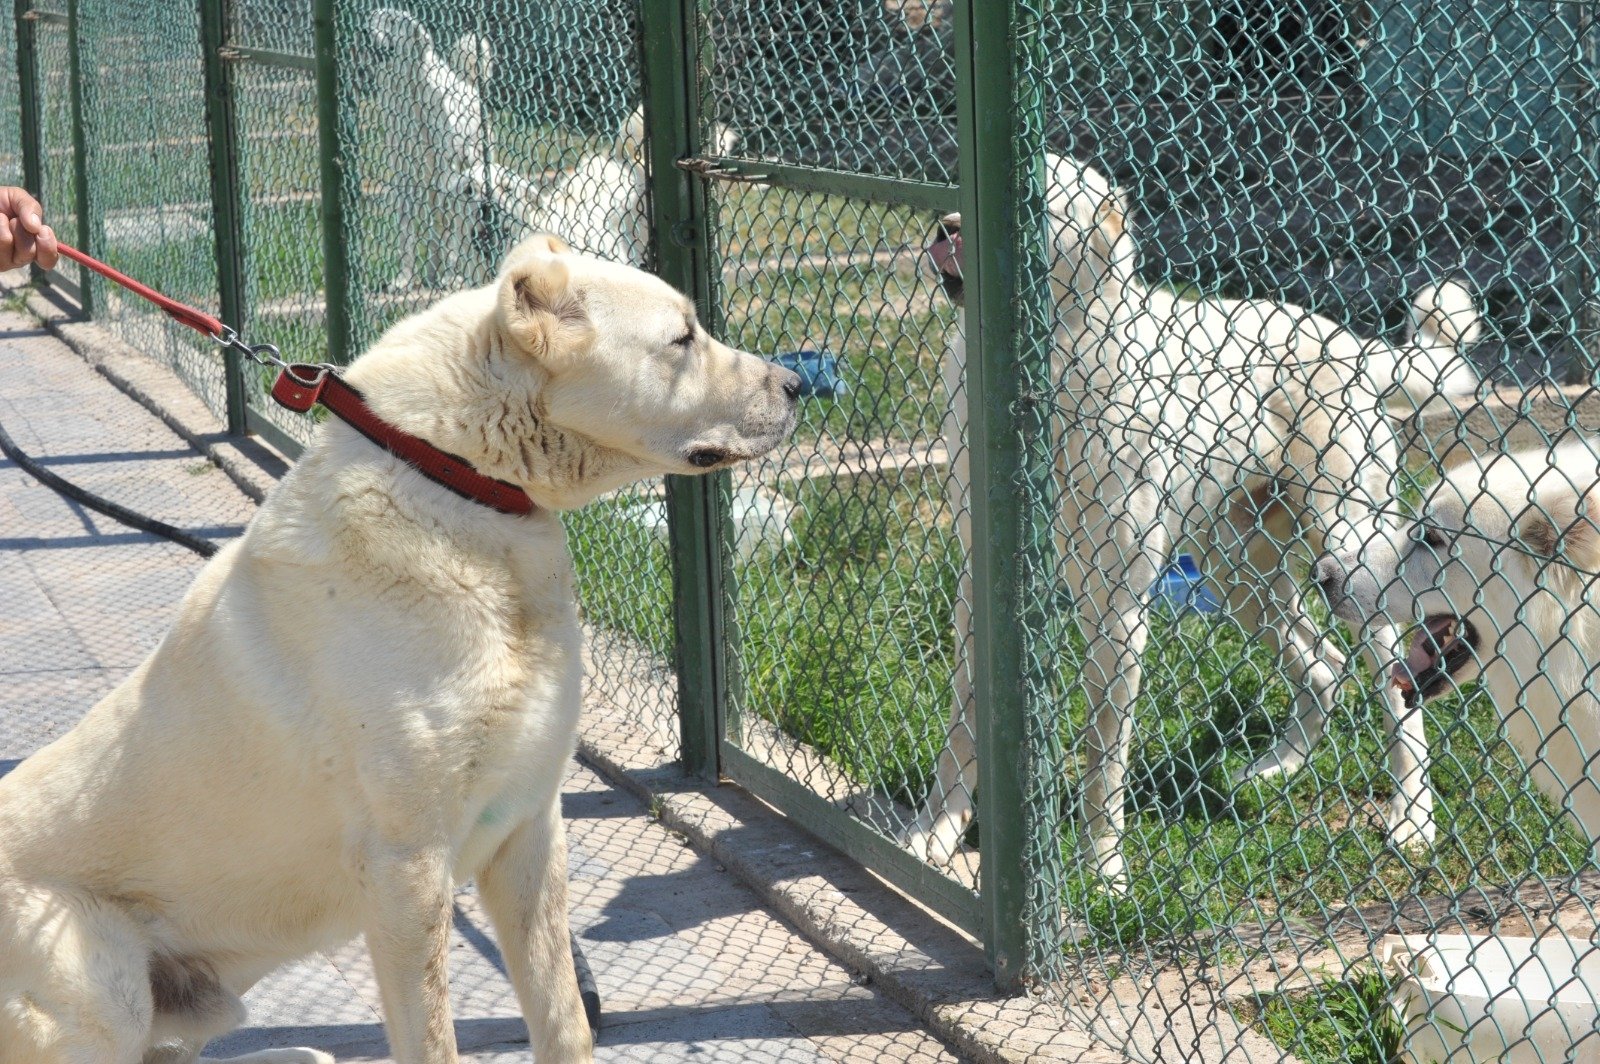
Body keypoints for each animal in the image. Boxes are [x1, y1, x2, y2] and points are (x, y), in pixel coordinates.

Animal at [0, 235, 800, 1062]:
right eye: (682, 340)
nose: (800, 383)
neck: (454, 478)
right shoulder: (405, 866)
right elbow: (433, 1037)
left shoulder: (529, 832)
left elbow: (564, 1019)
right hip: (103, 984)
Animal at [908, 151, 1478, 876]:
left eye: (1039, 200)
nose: (947, 227)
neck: (1044, 379)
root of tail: (1344, 338)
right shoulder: (978, 594)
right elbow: (963, 730)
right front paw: (935, 833)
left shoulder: (1119, 611)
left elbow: (1103, 759)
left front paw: (1103, 871)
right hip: (1241, 581)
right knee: (1322, 668)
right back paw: (1273, 770)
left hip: (1349, 556)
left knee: (1393, 695)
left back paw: (1412, 820)